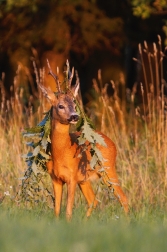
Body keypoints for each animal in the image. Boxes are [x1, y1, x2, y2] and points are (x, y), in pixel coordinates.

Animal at [37, 64, 129, 220]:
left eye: (75, 105)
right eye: (60, 106)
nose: (74, 116)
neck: (62, 153)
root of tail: (112, 143)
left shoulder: (72, 177)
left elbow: (68, 211)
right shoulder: (56, 178)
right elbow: (56, 211)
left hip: (108, 168)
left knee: (123, 198)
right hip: (85, 179)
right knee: (93, 200)